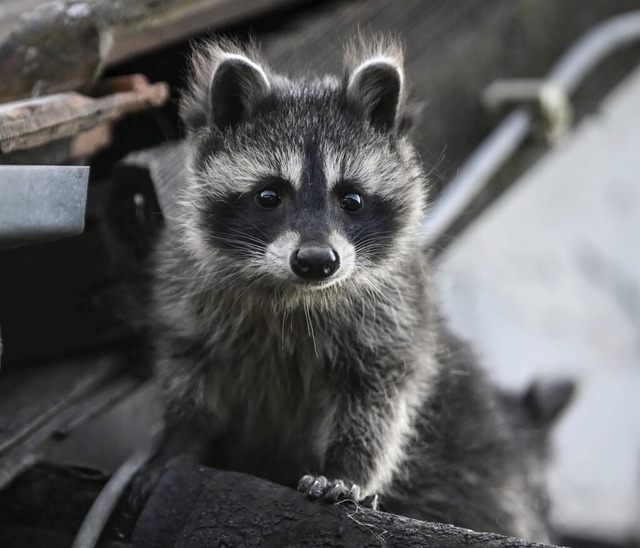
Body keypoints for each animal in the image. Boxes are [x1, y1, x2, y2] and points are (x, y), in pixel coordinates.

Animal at [144, 36, 568, 540]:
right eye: (269, 196)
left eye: (351, 199)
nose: (316, 262)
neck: (296, 294)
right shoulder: (188, 296)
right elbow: (190, 373)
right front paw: (181, 440)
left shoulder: (396, 315)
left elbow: (377, 398)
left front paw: (348, 470)